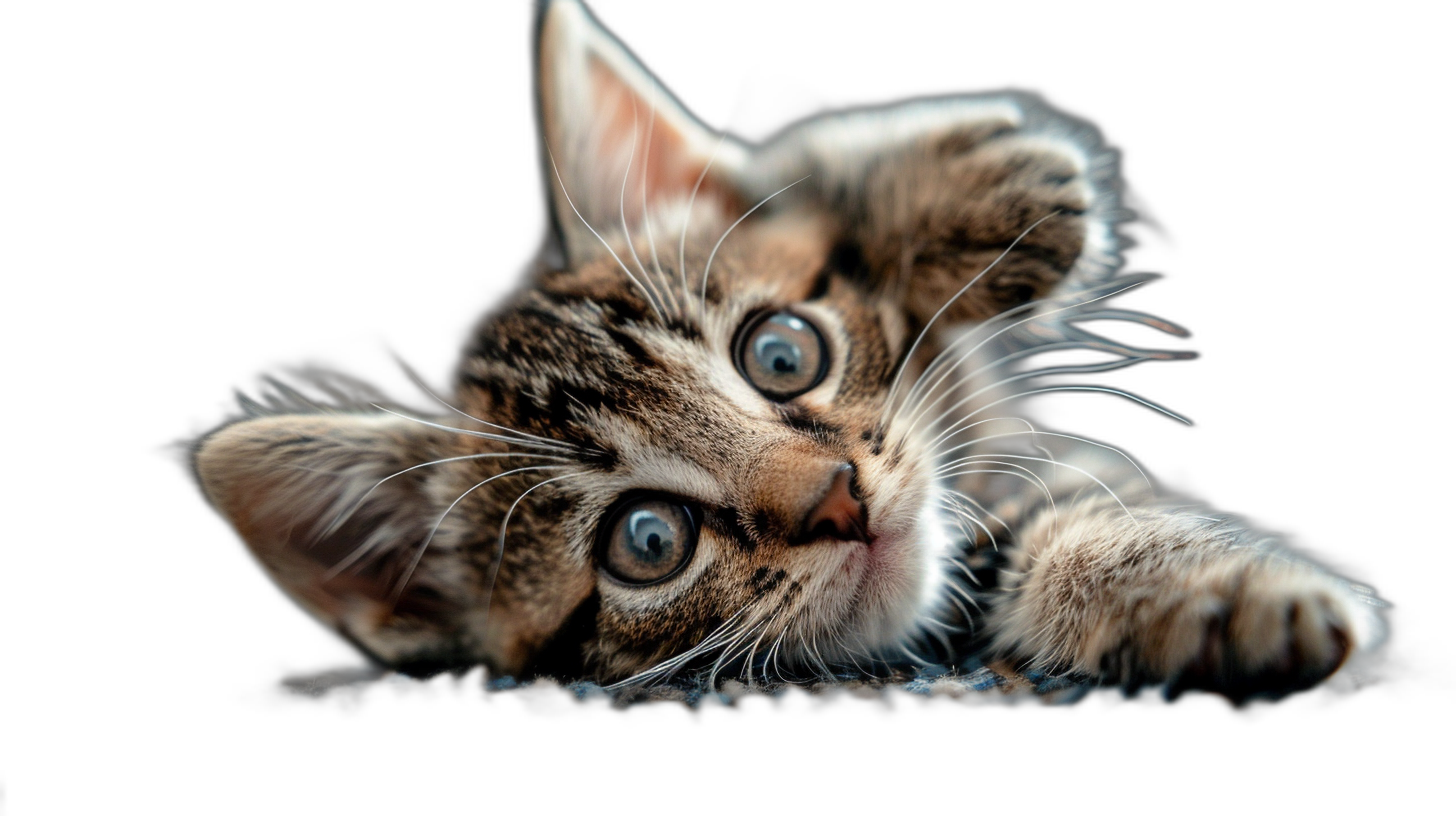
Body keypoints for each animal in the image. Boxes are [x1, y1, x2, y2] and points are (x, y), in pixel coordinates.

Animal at [193, 1, 1386, 693]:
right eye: (647, 540)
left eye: (781, 355)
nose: (837, 501)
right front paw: (1239, 605)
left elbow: (789, 164)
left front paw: (981, 184)